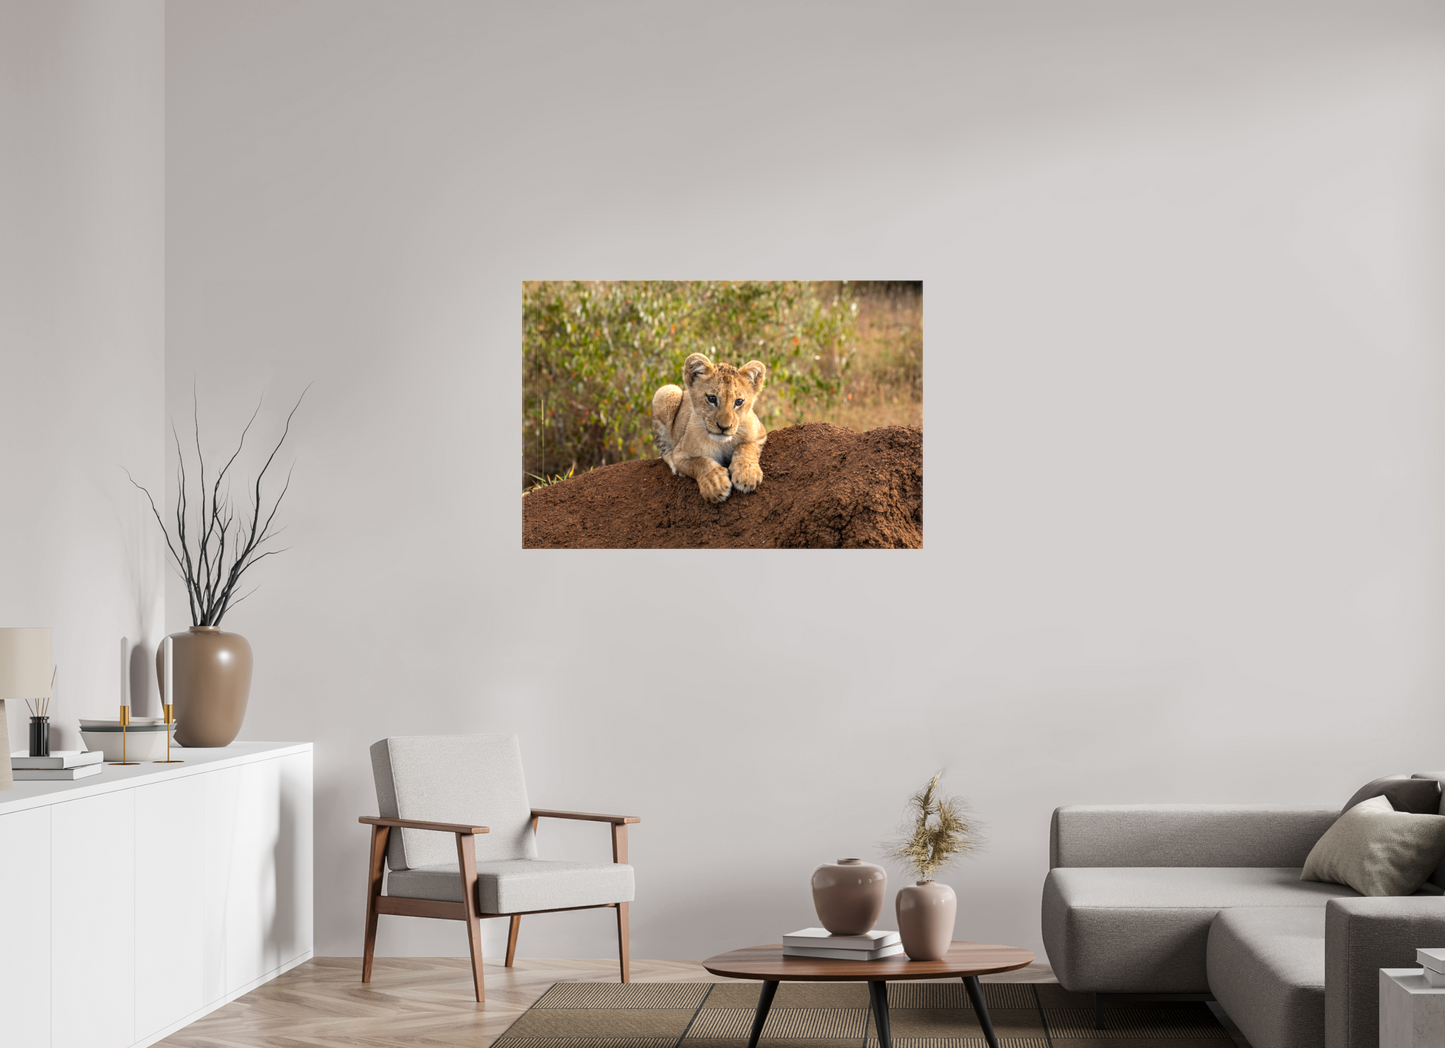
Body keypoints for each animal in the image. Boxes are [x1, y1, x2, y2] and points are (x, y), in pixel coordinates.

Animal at [651, 352, 767, 503]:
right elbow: (700, 462)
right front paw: (715, 483)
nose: (724, 427)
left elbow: (747, 447)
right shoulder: (680, 455)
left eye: (738, 402)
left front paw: (746, 474)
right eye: (712, 399)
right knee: (664, 449)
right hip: (667, 391)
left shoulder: (760, 432)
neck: (722, 443)